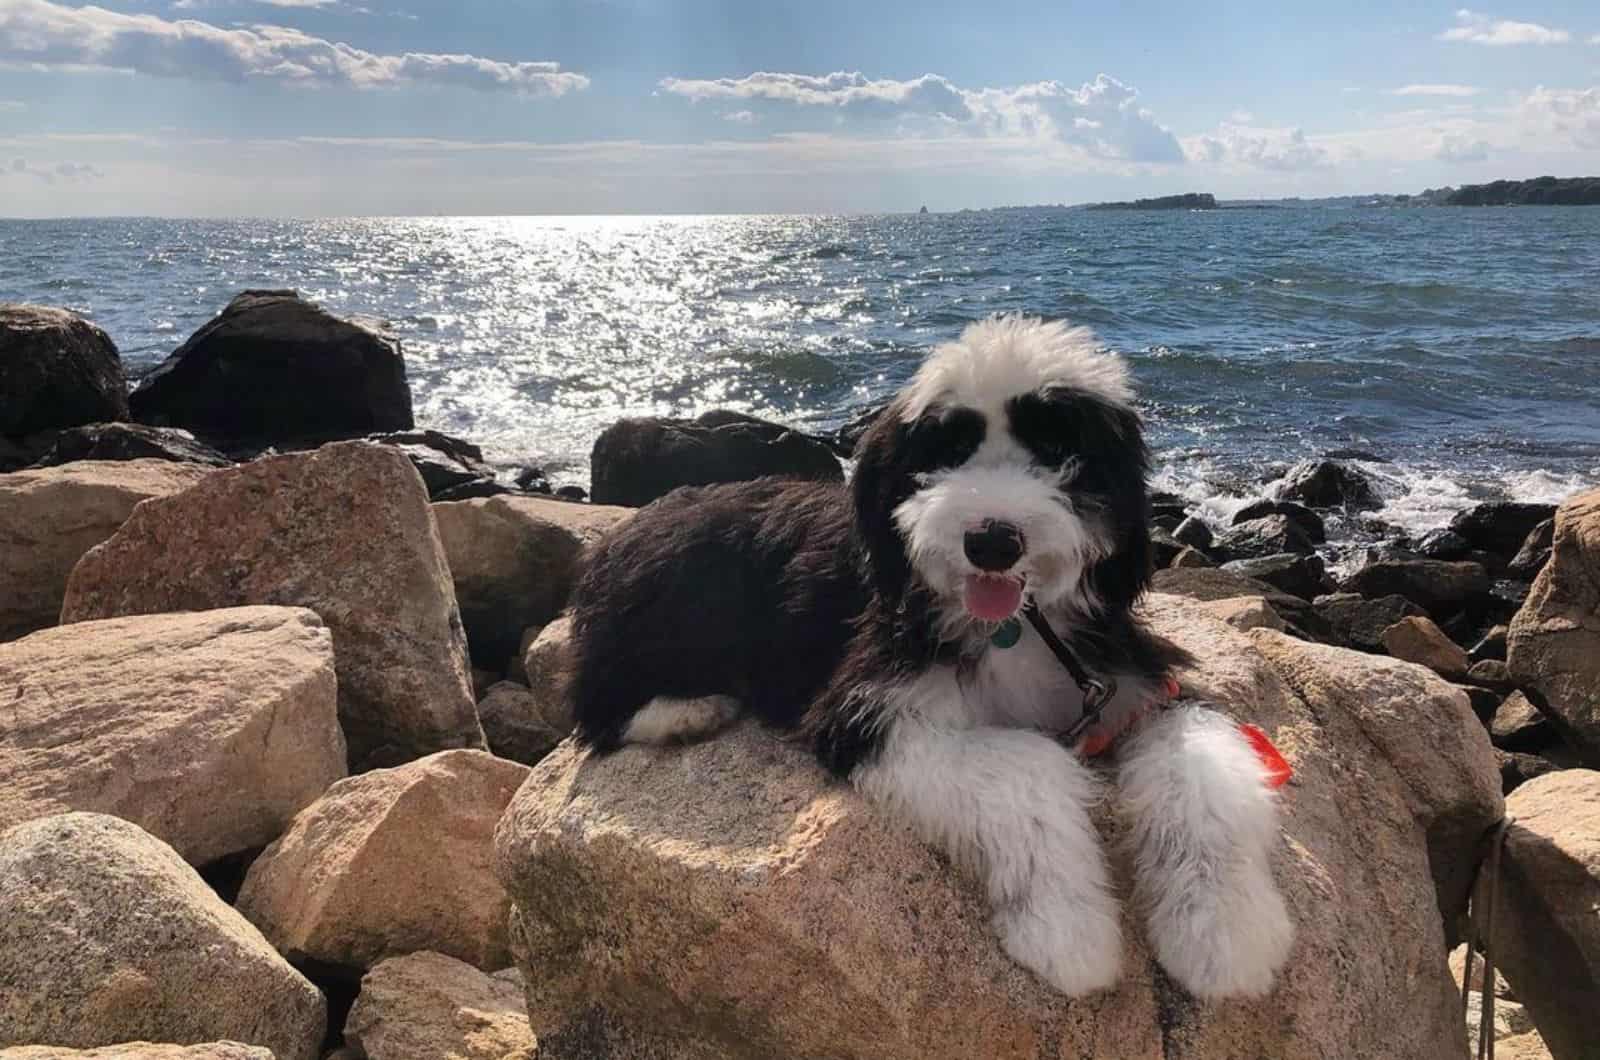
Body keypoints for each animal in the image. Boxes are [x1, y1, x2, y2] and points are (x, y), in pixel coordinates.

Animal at [569, 315, 1292, 1005]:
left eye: (1057, 449)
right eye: (949, 449)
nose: (992, 541)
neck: (1013, 627)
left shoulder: (1124, 679)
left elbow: (1200, 757)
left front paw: (1223, 934)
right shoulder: (868, 708)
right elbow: (1026, 765)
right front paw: (1068, 929)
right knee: (593, 702)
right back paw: (686, 711)